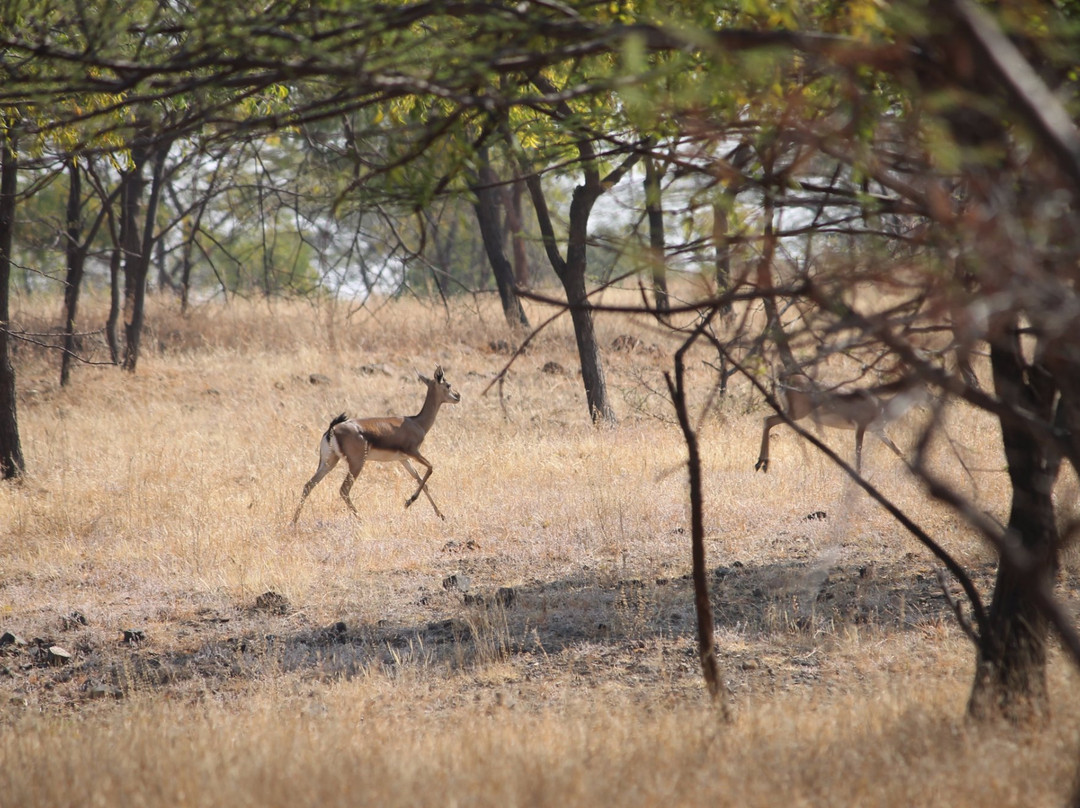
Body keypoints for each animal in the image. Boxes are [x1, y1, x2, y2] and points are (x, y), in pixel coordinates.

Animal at [293, 365, 462, 524]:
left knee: (308, 485)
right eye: (448, 384)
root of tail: (332, 429)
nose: (458, 396)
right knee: (343, 490)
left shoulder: (403, 459)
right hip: (356, 463)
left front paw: (440, 514)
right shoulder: (413, 452)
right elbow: (430, 468)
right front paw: (409, 502)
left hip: (329, 462)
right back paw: (361, 519)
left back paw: (293, 522)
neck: (416, 422)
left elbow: (421, 481)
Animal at [756, 371, 924, 473]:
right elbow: (858, 451)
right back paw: (762, 464)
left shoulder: (878, 431)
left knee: (767, 420)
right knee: (768, 420)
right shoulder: (860, 426)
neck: (882, 406)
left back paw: (761, 464)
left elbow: (898, 450)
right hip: (795, 414)